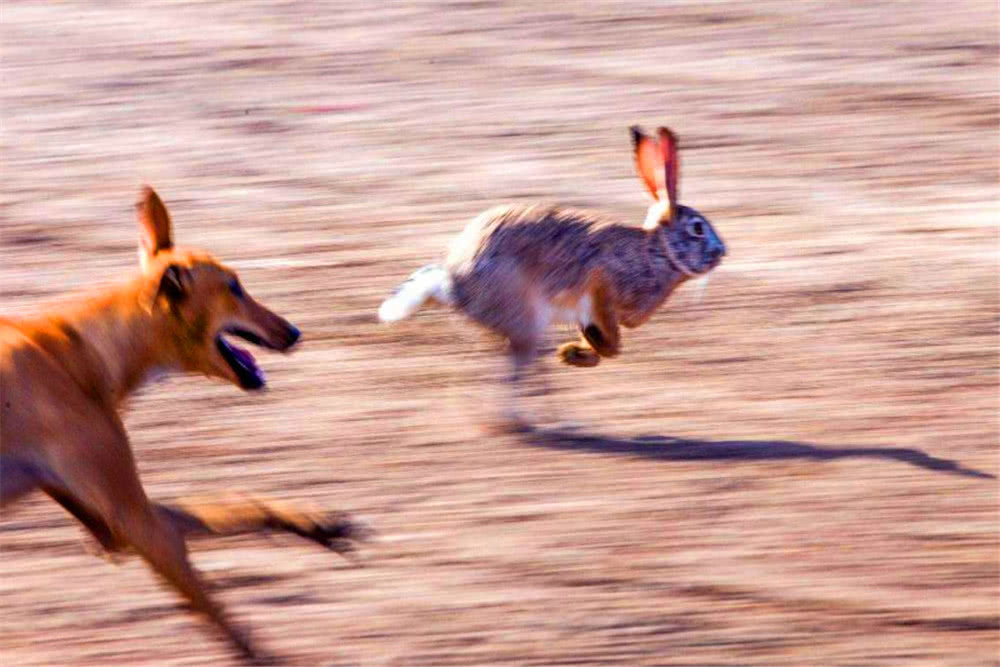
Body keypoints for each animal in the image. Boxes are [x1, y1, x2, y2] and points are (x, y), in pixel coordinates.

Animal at [0, 188, 366, 664]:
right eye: (234, 287)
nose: (294, 332)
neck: (84, 347)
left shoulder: (111, 527)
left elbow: (230, 506)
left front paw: (315, 524)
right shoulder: (138, 524)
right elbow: (225, 620)